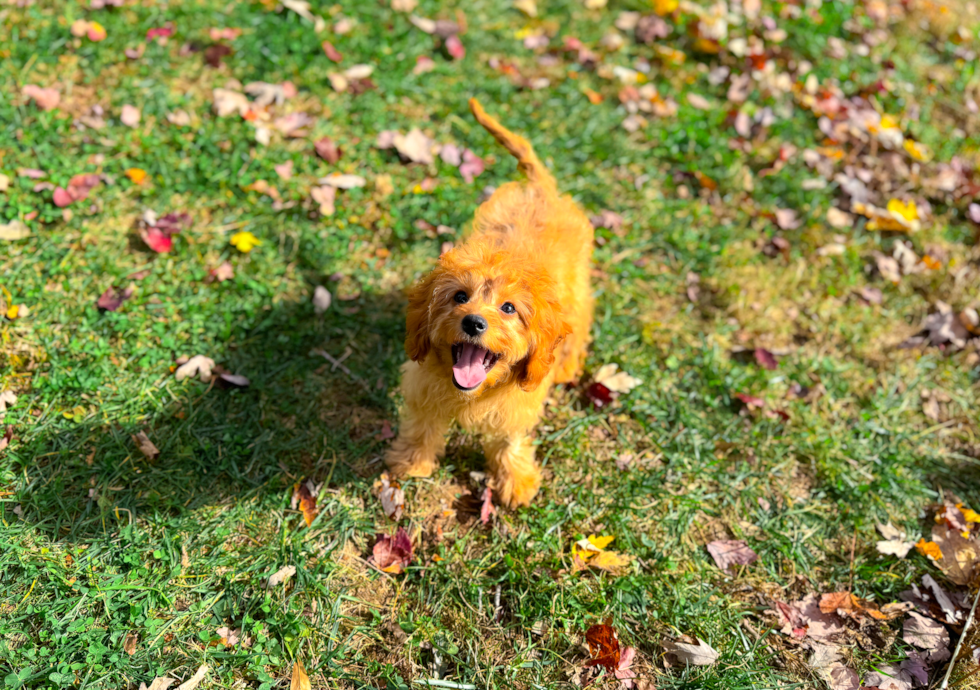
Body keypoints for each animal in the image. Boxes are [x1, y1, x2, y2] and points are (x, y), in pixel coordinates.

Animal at [384, 98, 592, 506]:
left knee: (580, 325)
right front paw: (412, 462)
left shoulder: (518, 402)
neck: (473, 394)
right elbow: (421, 425)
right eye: (460, 297)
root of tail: (540, 189)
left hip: (578, 290)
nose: (473, 322)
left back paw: (565, 364)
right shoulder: (422, 384)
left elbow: (508, 439)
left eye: (508, 308)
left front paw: (516, 479)